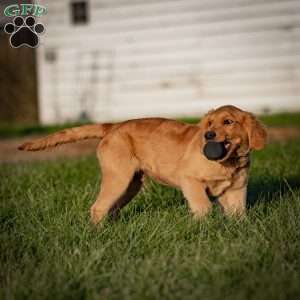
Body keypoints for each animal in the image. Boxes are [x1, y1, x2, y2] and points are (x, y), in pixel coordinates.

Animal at [18, 104, 268, 224]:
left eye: (228, 122)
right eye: (209, 123)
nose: (208, 135)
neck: (229, 161)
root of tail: (112, 126)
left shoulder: (236, 190)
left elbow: (239, 213)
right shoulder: (190, 180)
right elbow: (203, 206)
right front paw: (202, 227)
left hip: (130, 185)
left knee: (111, 208)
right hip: (118, 178)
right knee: (98, 207)